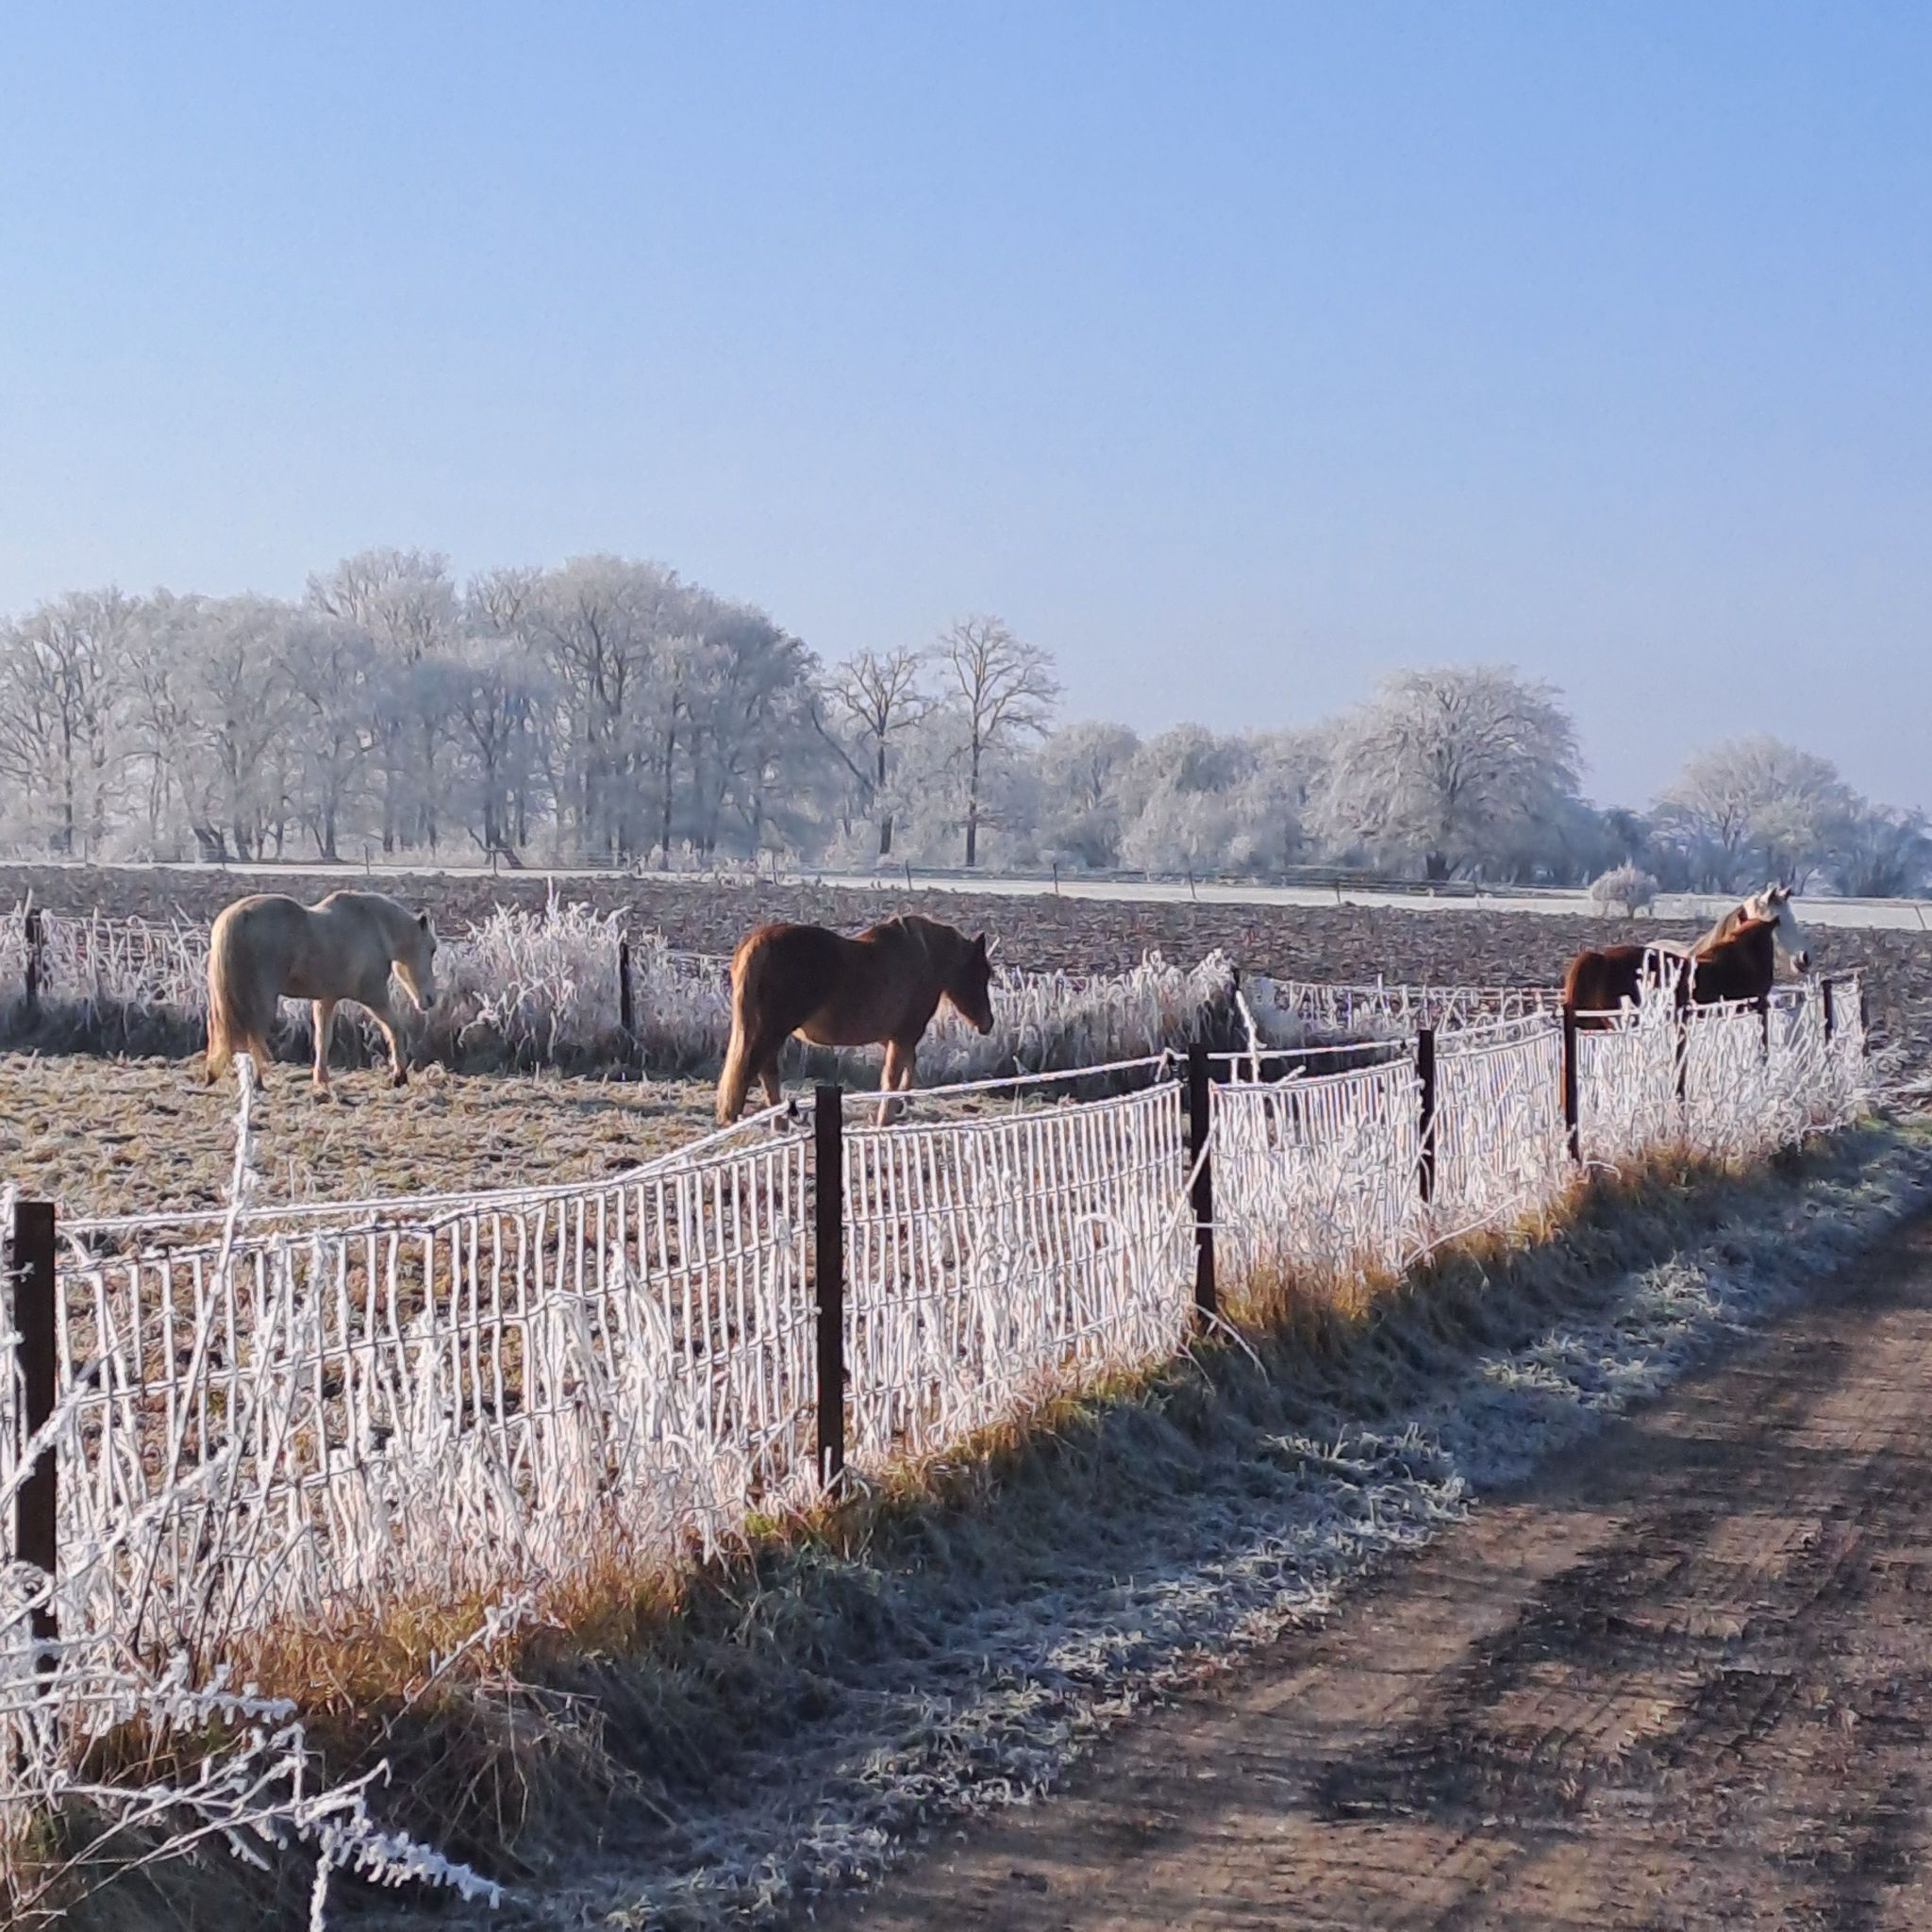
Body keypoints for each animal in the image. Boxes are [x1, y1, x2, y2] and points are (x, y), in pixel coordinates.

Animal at [205, 890, 439, 1092]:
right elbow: (395, 1028)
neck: (373, 926)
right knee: (254, 1037)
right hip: (260, 1002)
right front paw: (399, 1075)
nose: (430, 999)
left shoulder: (326, 1000)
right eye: (432, 949)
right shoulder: (374, 997)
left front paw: (322, 1079)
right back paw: (257, 1082)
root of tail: (236, 918)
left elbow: (323, 1038)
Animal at [716, 914, 996, 1127]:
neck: (925, 955)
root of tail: (758, 942)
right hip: (770, 1031)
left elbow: (908, 1065)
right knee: (754, 1070)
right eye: (982, 973)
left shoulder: (892, 1037)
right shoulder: (905, 1034)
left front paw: (903, 1104)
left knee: (766, 1072)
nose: (988, 1023)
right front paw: (886, 1117)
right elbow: (893, 1075)